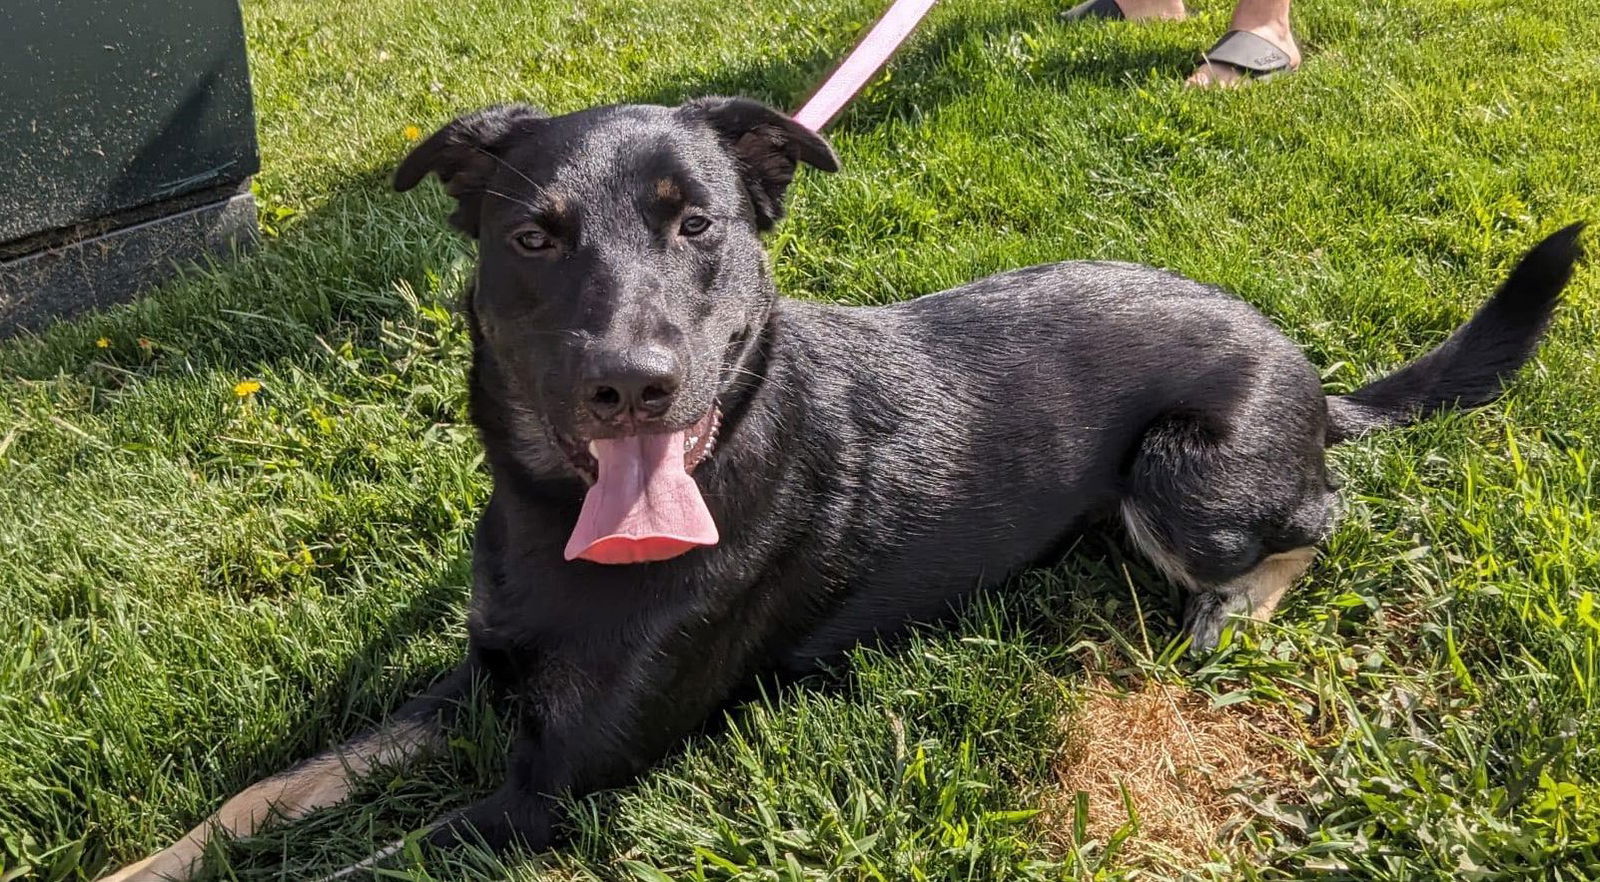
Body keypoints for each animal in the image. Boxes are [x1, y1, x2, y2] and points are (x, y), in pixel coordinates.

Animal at [100, 98, 1587, 882]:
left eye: (698, 224)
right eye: (533, 236)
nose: (633, 384)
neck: (566, 529)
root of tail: (1307, 367)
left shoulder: (552, 793)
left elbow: (357, 862)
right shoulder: (469, 686)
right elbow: (270, 794)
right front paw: (143, 859)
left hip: (1185, 474)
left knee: (1318, 517)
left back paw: (1243, 606)